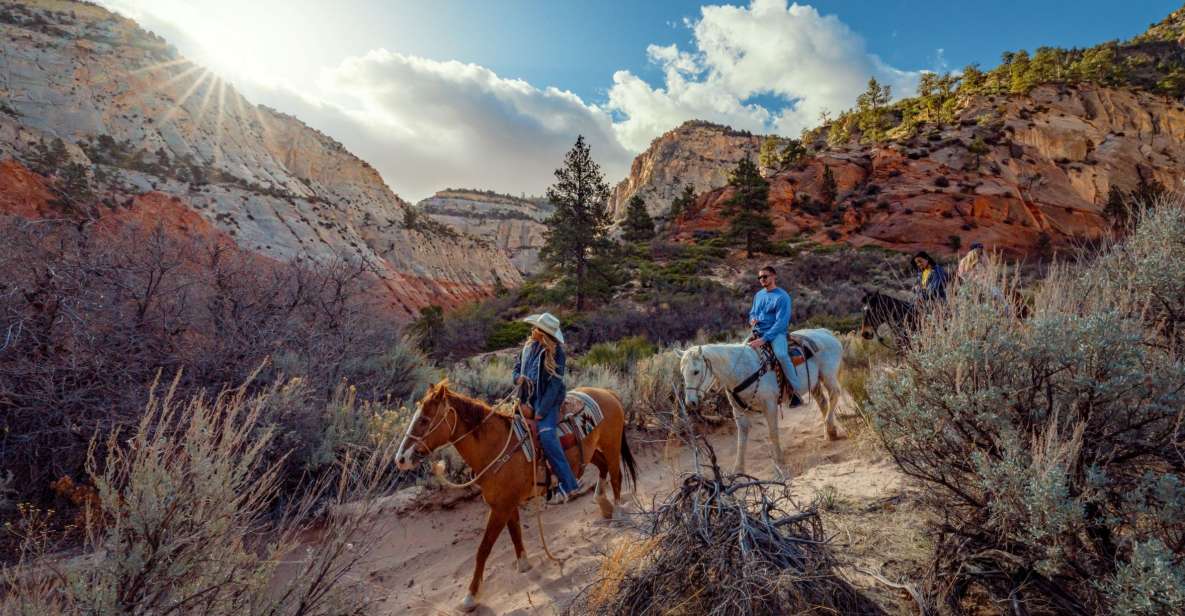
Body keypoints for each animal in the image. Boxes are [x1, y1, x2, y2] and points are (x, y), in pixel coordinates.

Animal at [395, 379, 639, 611]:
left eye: (424, 420)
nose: (400, 459)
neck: (496, 446)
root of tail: (608, 392)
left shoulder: (500, 508)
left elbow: (483, 549)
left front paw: (471, 596)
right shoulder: (507, 505)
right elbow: (515, 532)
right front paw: (524, 564)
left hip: (611, 444)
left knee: (616, 475)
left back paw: (617, 513)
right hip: (590, 451)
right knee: (602, 467)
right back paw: (603, 504)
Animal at [677, 326, 843, 476]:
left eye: (696, 371)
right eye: (682, 372)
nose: (690, 402)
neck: (743, 370)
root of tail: (826, 332)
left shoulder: (769, 405)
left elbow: (773, 432)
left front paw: (779, 461)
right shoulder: (738, 411)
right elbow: (741, 440)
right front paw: (738, 470)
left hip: (827, 375)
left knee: (834, 395)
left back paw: (829, 428)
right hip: (814, 383)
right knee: (823, 402)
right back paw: (829, 432)